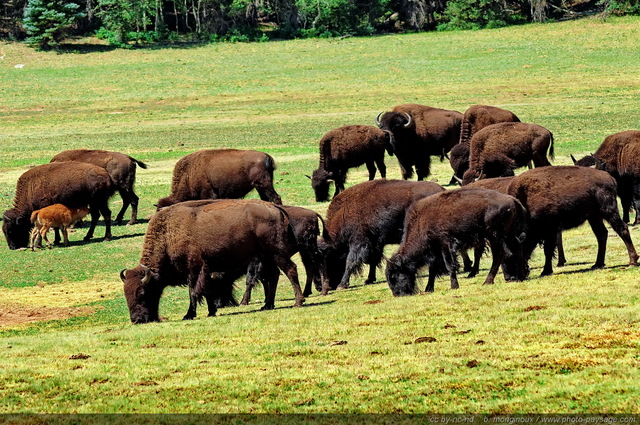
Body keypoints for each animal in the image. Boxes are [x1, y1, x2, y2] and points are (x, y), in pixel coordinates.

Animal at [120, 198, 304, 322]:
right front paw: (211, 311)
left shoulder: (194, 270)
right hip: (266, 257)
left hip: (276, 254)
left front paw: (189, 315)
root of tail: (276, 208)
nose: (136, 320)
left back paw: (298, 302)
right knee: (273, 276)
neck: (168, 234)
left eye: (142, 293)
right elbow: (207, 291)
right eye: (126, 294)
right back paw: (267, 305)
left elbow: (194, 292)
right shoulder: (206, 271)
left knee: (290, 270)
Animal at [382, 189, 528, 294]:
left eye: (394, 276)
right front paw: (429, 289)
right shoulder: (435, 251)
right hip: (507, 234)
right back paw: (520, 277)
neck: (421, 222)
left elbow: (449, 265)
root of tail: (512, 200)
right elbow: (432, 269)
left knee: (499, 255)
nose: (397, 294)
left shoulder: (445, 245)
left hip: (494, 235)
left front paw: (454, 286)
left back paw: (488, 281)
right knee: (517, 249)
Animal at [508, 164, 636, 276]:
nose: (514, 276)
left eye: (516, 251)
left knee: (622, 229)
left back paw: (632, 262)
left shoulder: (550, 230)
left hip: (608, 211)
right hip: (594, 217)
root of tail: (610, 178)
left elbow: (548, 250)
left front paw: (545, 271)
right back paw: (597, 264)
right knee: (602, 234)